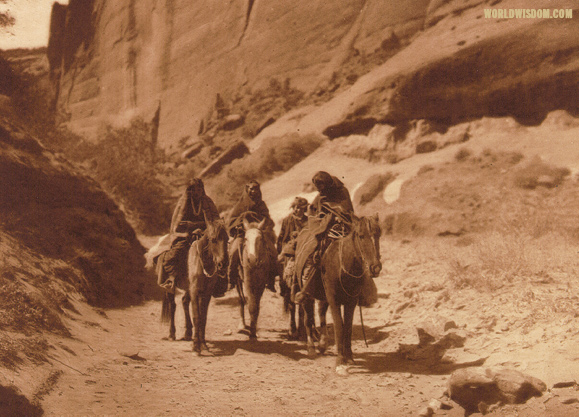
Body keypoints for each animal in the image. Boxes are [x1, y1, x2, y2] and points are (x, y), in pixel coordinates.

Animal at [162, 219, 230, 352]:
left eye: (227, 239)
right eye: (214, 240)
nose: (223, 264)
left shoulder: (206, 292)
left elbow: (203, 317)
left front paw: (202, 344)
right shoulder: (194, 290)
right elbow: (196, 316)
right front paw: (196, 345)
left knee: (184, 301)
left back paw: (188, 333)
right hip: (170, 289)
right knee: (173, 306)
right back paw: (172, 334)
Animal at [304, 214, 380, 370]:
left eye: (379, 234)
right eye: (361, 236)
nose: (375, 268)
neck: (343, 265)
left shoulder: (351, 301)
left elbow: (348, 327)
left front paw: (349, 357)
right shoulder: (334, 300)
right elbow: (339, 326)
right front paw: (340, 360)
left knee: (320, 312)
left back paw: (322, 344)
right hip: (306, 293)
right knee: (307, 317)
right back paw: (311, 348)